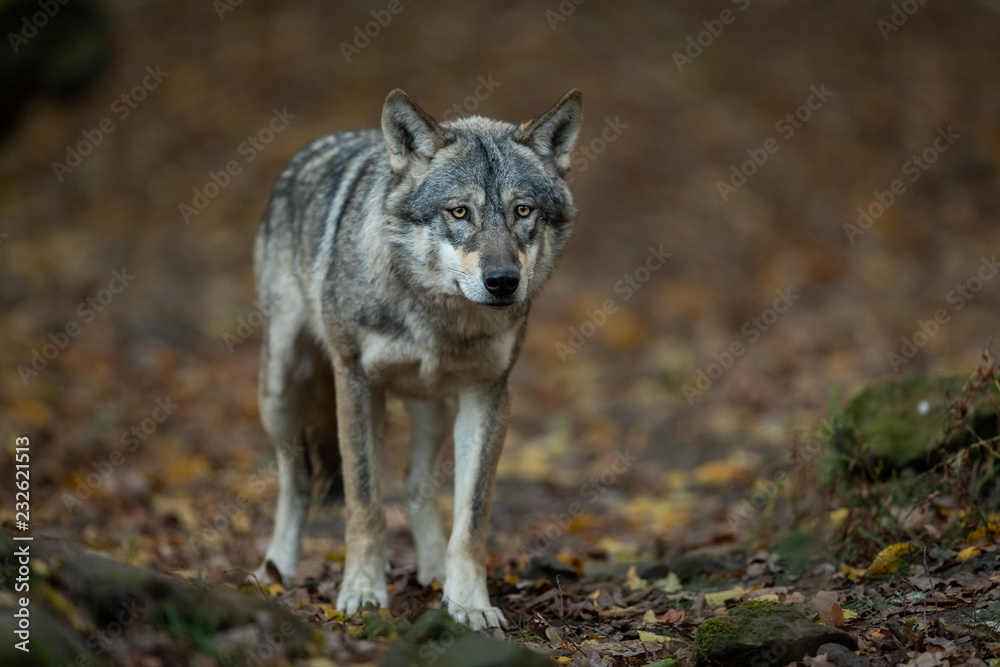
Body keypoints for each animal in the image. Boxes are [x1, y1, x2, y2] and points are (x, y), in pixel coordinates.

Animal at [250, 86, 584, 628]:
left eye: (523, 211)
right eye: (459, 212)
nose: (503, 282)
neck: (436, 316)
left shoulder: (488, 395)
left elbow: (471, 518)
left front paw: (468, 603)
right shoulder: (355, 381)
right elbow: (365, 503)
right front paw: (363, 593)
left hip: (435, 407)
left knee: (415, 484)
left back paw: (431, 571)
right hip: (282, 388)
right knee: (295, 482)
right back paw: (274, 570)